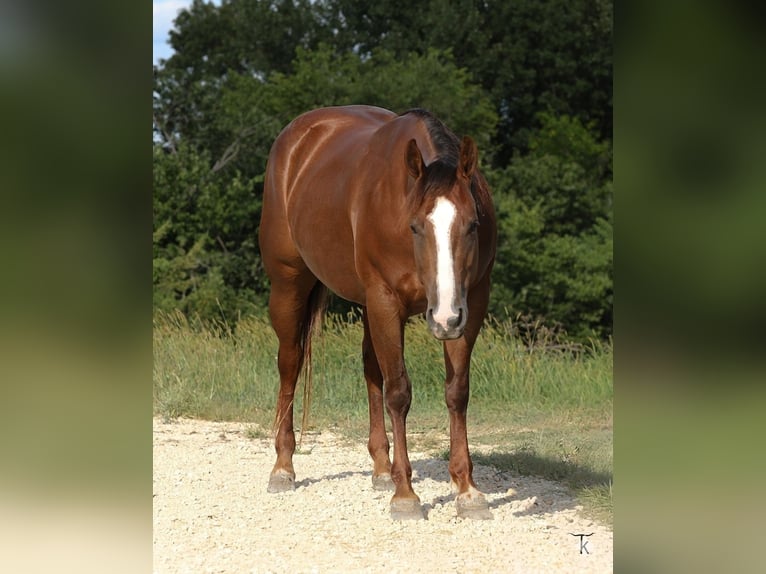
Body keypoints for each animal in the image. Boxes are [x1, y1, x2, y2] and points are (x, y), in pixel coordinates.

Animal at [258, 105, 497, 520]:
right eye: (415, 226)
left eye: (472, 225)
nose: (444, 319)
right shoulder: (386, 301)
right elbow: (398, 392)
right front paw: (406, 496)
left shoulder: (471, 305)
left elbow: (456, 392)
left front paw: (467, 490)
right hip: (290, 286)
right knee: (290, 365)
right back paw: (283, 468)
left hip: (371, 306)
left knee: (371, 370)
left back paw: (382, 469)